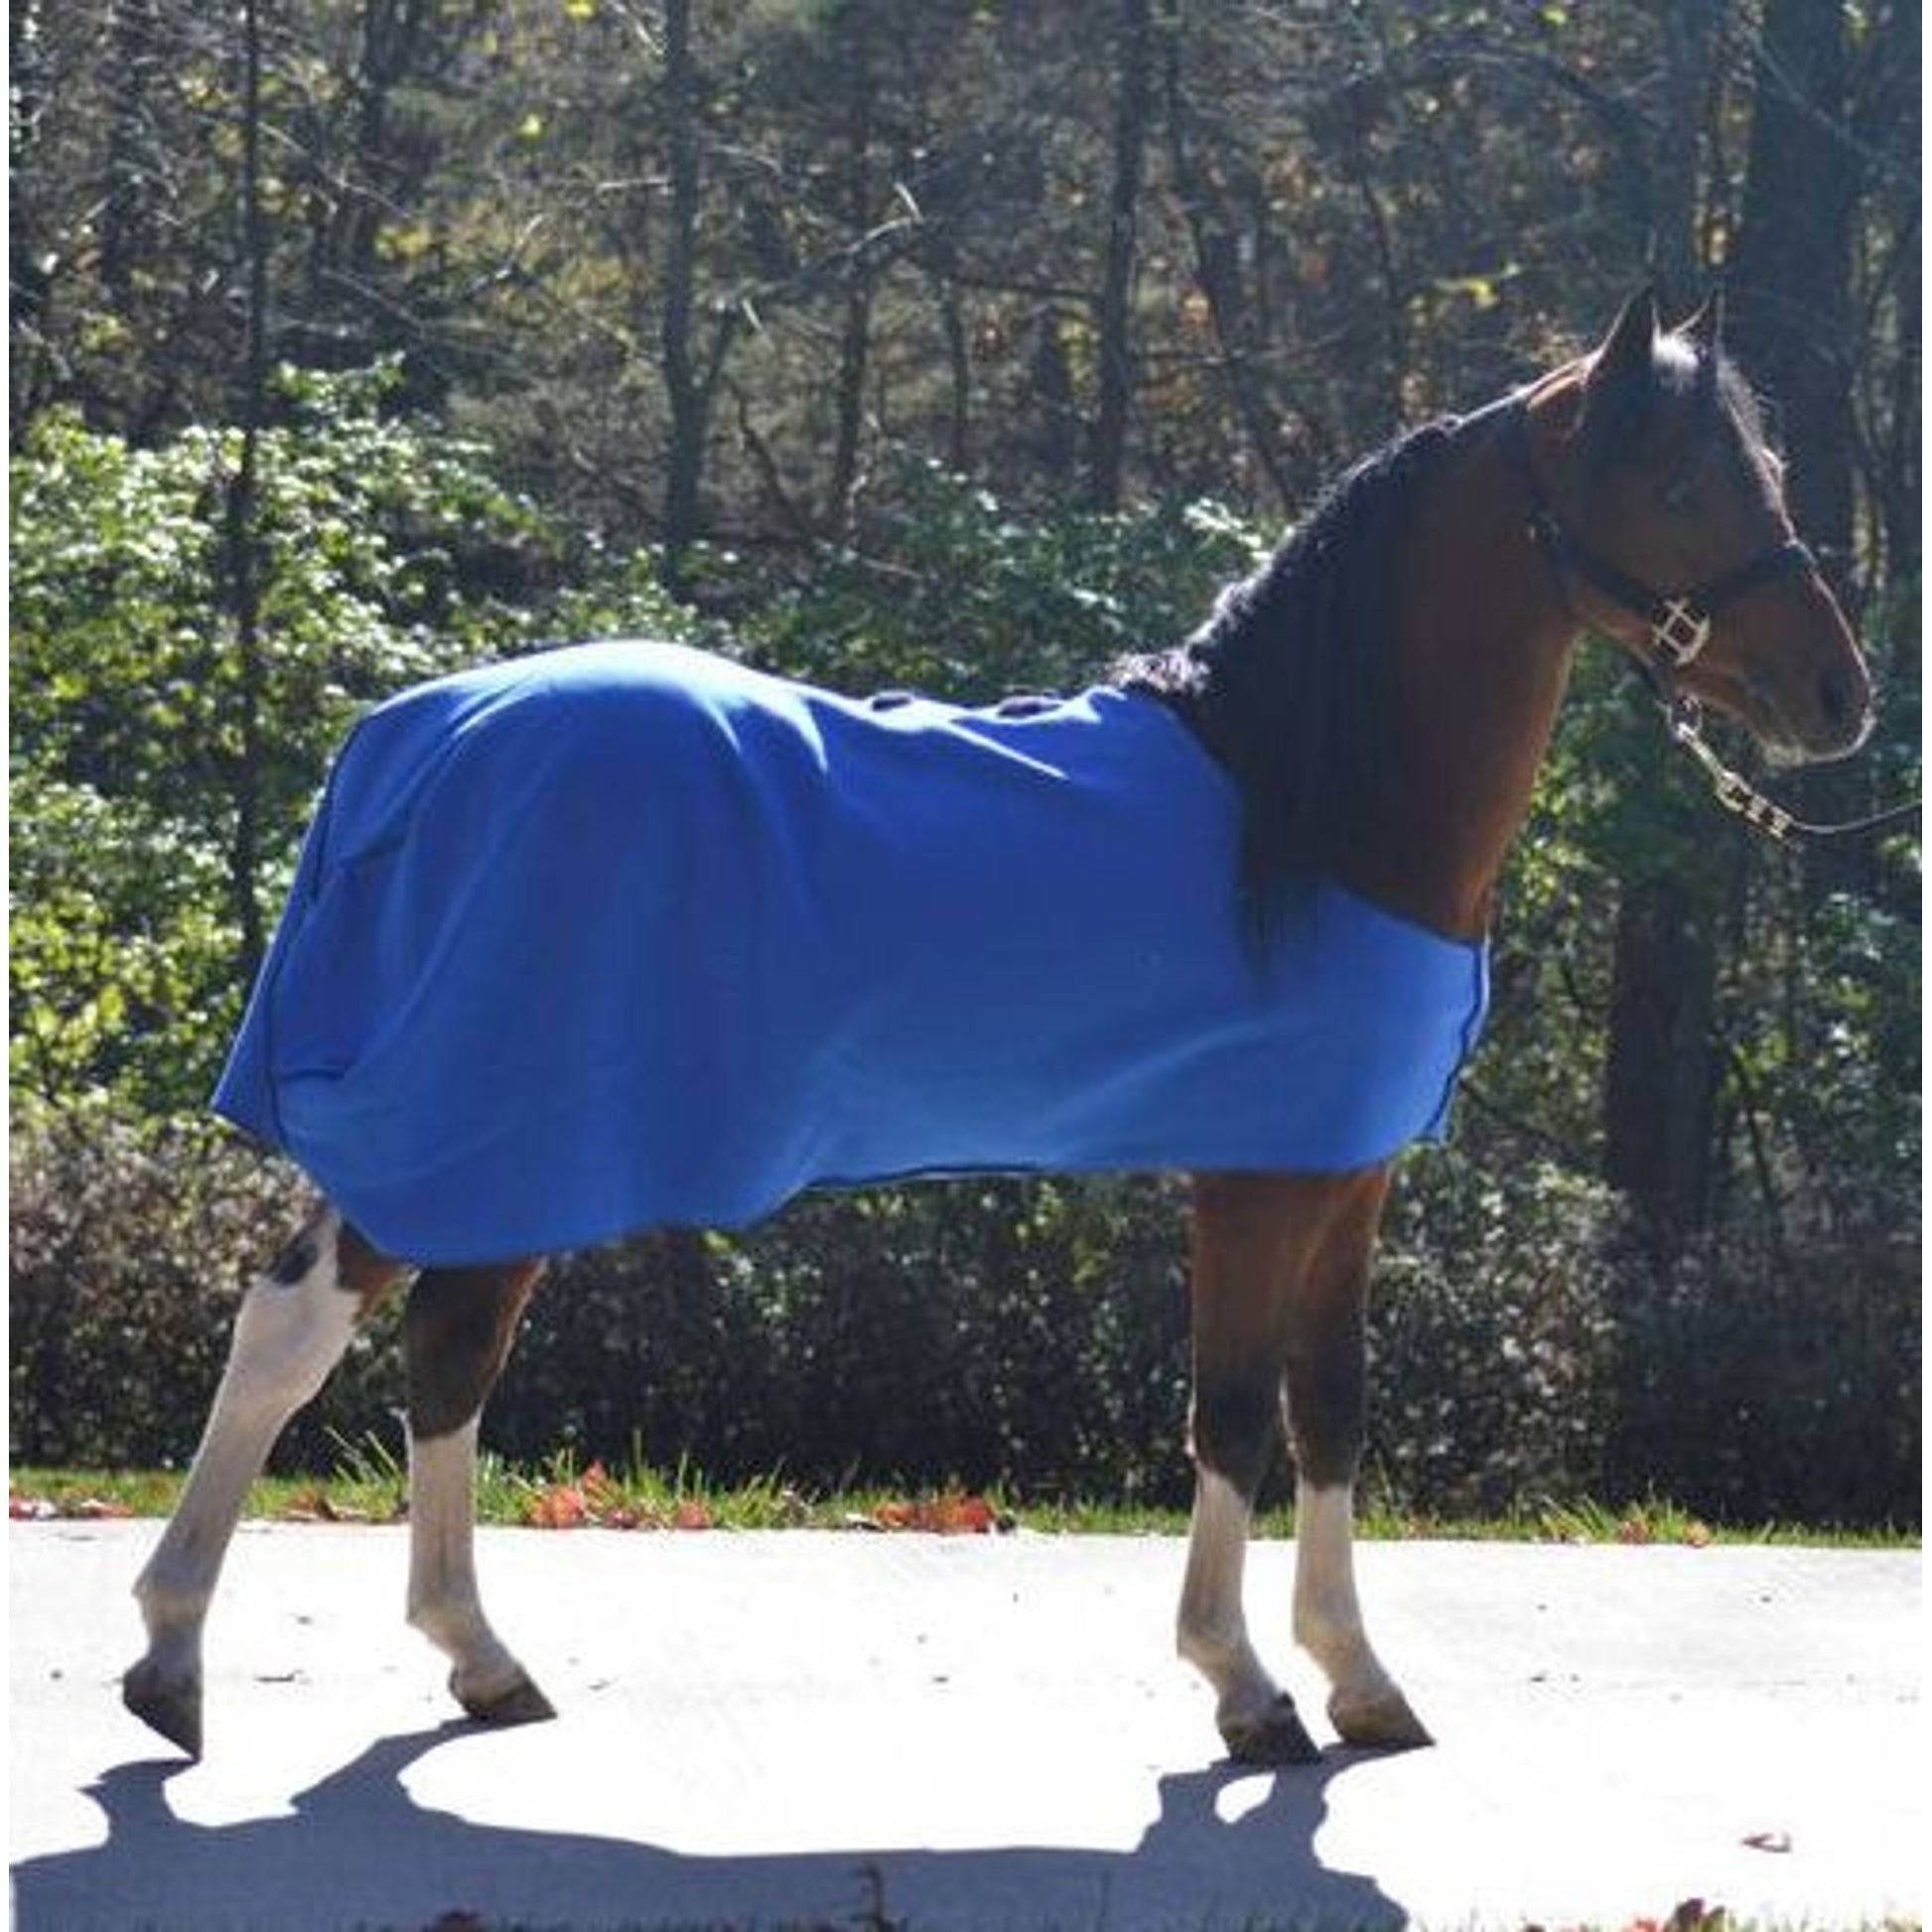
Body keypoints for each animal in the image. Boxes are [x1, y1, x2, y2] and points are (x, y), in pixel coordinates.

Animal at [122, 290, 1873, 1765]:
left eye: (1762, 467)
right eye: (1677, 484)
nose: (1839, 698)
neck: (1309, 809)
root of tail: (417, 736)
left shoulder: (1347, 1176)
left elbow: (1330, 1409)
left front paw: (1357, 1677)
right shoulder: (1251, 1181)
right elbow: (1232, 1411)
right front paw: (1243, 1686)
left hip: (493, 1147)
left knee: (427, 1352)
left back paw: (449, 1658)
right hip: (476, 1130)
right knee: (320, 1333)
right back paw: (182, 1656)